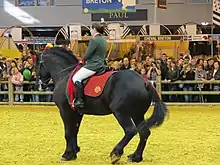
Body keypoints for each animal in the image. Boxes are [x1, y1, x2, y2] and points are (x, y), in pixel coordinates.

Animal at [36, 47, 168, 164]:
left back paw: (116, 153)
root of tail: (144, 82)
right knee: (144, 132)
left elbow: (68, 132)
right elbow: (74, 130)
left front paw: (67, 154)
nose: (40, 83)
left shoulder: (65, 110)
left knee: (130, 130)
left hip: (120, 112)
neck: (65, 74)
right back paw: (135, 157)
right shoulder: (77, 112)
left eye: (38, 63)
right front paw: (74, 152)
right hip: (137, 114)